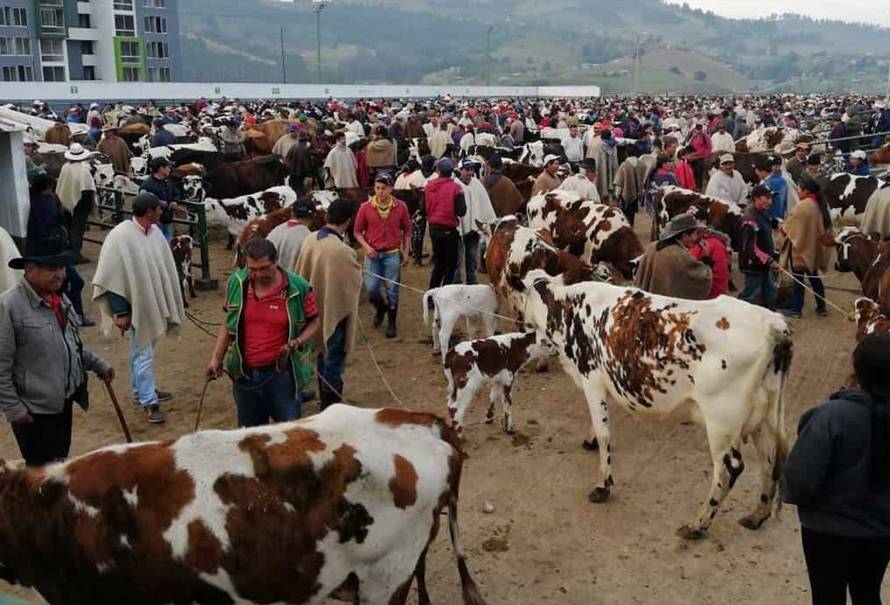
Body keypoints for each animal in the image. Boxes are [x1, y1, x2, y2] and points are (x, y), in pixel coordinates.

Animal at [516, 268, 788, 536]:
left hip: (722, 420)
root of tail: (772, 324)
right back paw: (756, 515)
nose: (520, 321)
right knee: (768, 462)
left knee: (729, 467)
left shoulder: (591, 378)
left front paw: (602, 485)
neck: (567, 306)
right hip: (764, 417)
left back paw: (698, 524)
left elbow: (604, 433)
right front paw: (590, 441)